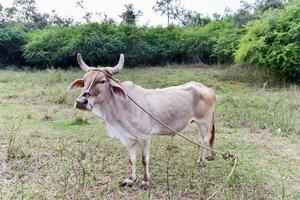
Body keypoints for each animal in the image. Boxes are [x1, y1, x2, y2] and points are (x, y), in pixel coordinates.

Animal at [67, 54, 216, 190]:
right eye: (84, 81)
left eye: (102, 81)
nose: (81, 102)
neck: (121, 106)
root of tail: (208, 89)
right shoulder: (127, 138)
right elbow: (132, 160)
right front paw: (131, 179)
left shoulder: (144, 136)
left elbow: (144, 160)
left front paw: (145, 182)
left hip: (203, 122)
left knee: (204, 140)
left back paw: (201, 161)